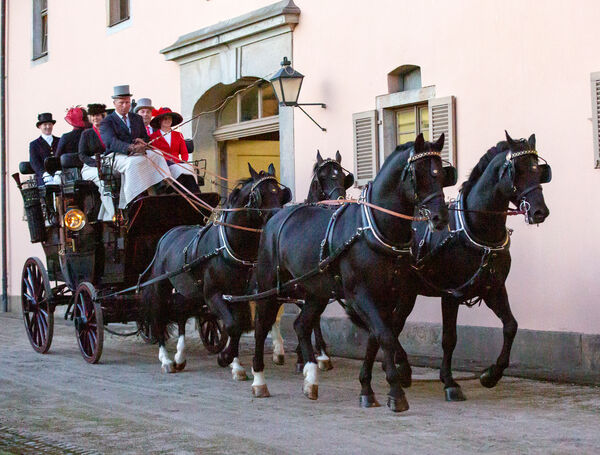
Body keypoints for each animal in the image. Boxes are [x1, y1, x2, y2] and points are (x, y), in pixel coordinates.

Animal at [142, 164, 290, 378]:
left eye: (279, 192)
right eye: (259, 195)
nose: (277, 219)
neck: (227, 248)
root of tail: (166, 235)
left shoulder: (239, 294)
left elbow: (241, 324)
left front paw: (235, 363)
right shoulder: (213, 294)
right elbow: (232, 325)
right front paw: (226, 358)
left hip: (189, 292)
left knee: (181, 314)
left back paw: (180, 356)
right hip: (161, 287)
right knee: (158, 316)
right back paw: (166, 359)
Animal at [270, 150, 354, 370]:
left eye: (342, 176)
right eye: (321, 177)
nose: (338, 201)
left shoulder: (315, 287)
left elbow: (312, 317)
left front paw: (319, 353)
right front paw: (305, 355)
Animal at [382, 132, 552, 402]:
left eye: (539, 170)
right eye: (517, 170)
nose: (539, 211)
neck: (476, 229)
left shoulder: (494, 289)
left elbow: (511, 326)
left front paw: (491, 374)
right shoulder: (451, 294)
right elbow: (449, 338)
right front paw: (450, 382)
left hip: (408, 292)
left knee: (394, 323)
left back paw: (402, 369)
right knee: (392, 323)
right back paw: (402, 367)